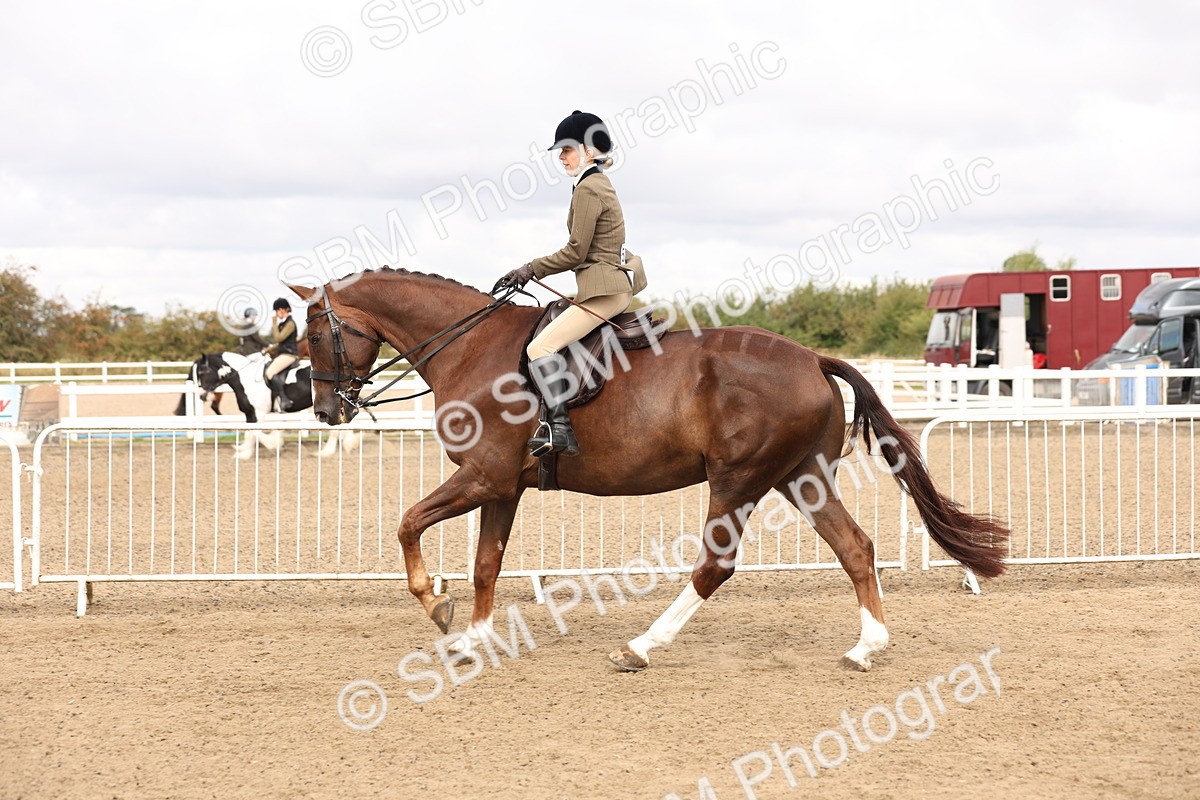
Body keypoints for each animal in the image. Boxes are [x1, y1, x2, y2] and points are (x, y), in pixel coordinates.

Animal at [179, 351, 360, 459]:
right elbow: (249, 433)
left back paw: (327, 451)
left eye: (202, 372)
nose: (201, 395)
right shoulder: (250, 413)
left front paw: (274, 444)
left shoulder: (259, 413)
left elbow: (256, 432)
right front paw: (244, 453)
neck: (245, 378)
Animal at [291, 268, 1009, 672]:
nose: (327, 410)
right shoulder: (502, 486)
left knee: (715, 566)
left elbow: (408, 524)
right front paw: (473, 639)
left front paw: (437, 609)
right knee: (855, 548)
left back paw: (639, 648)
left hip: (738, 480)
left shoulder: (483, 477)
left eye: (314, 336)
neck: (472, 348)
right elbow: (486, 564)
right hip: (799, 477)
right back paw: (867, 648)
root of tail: (811, 357)